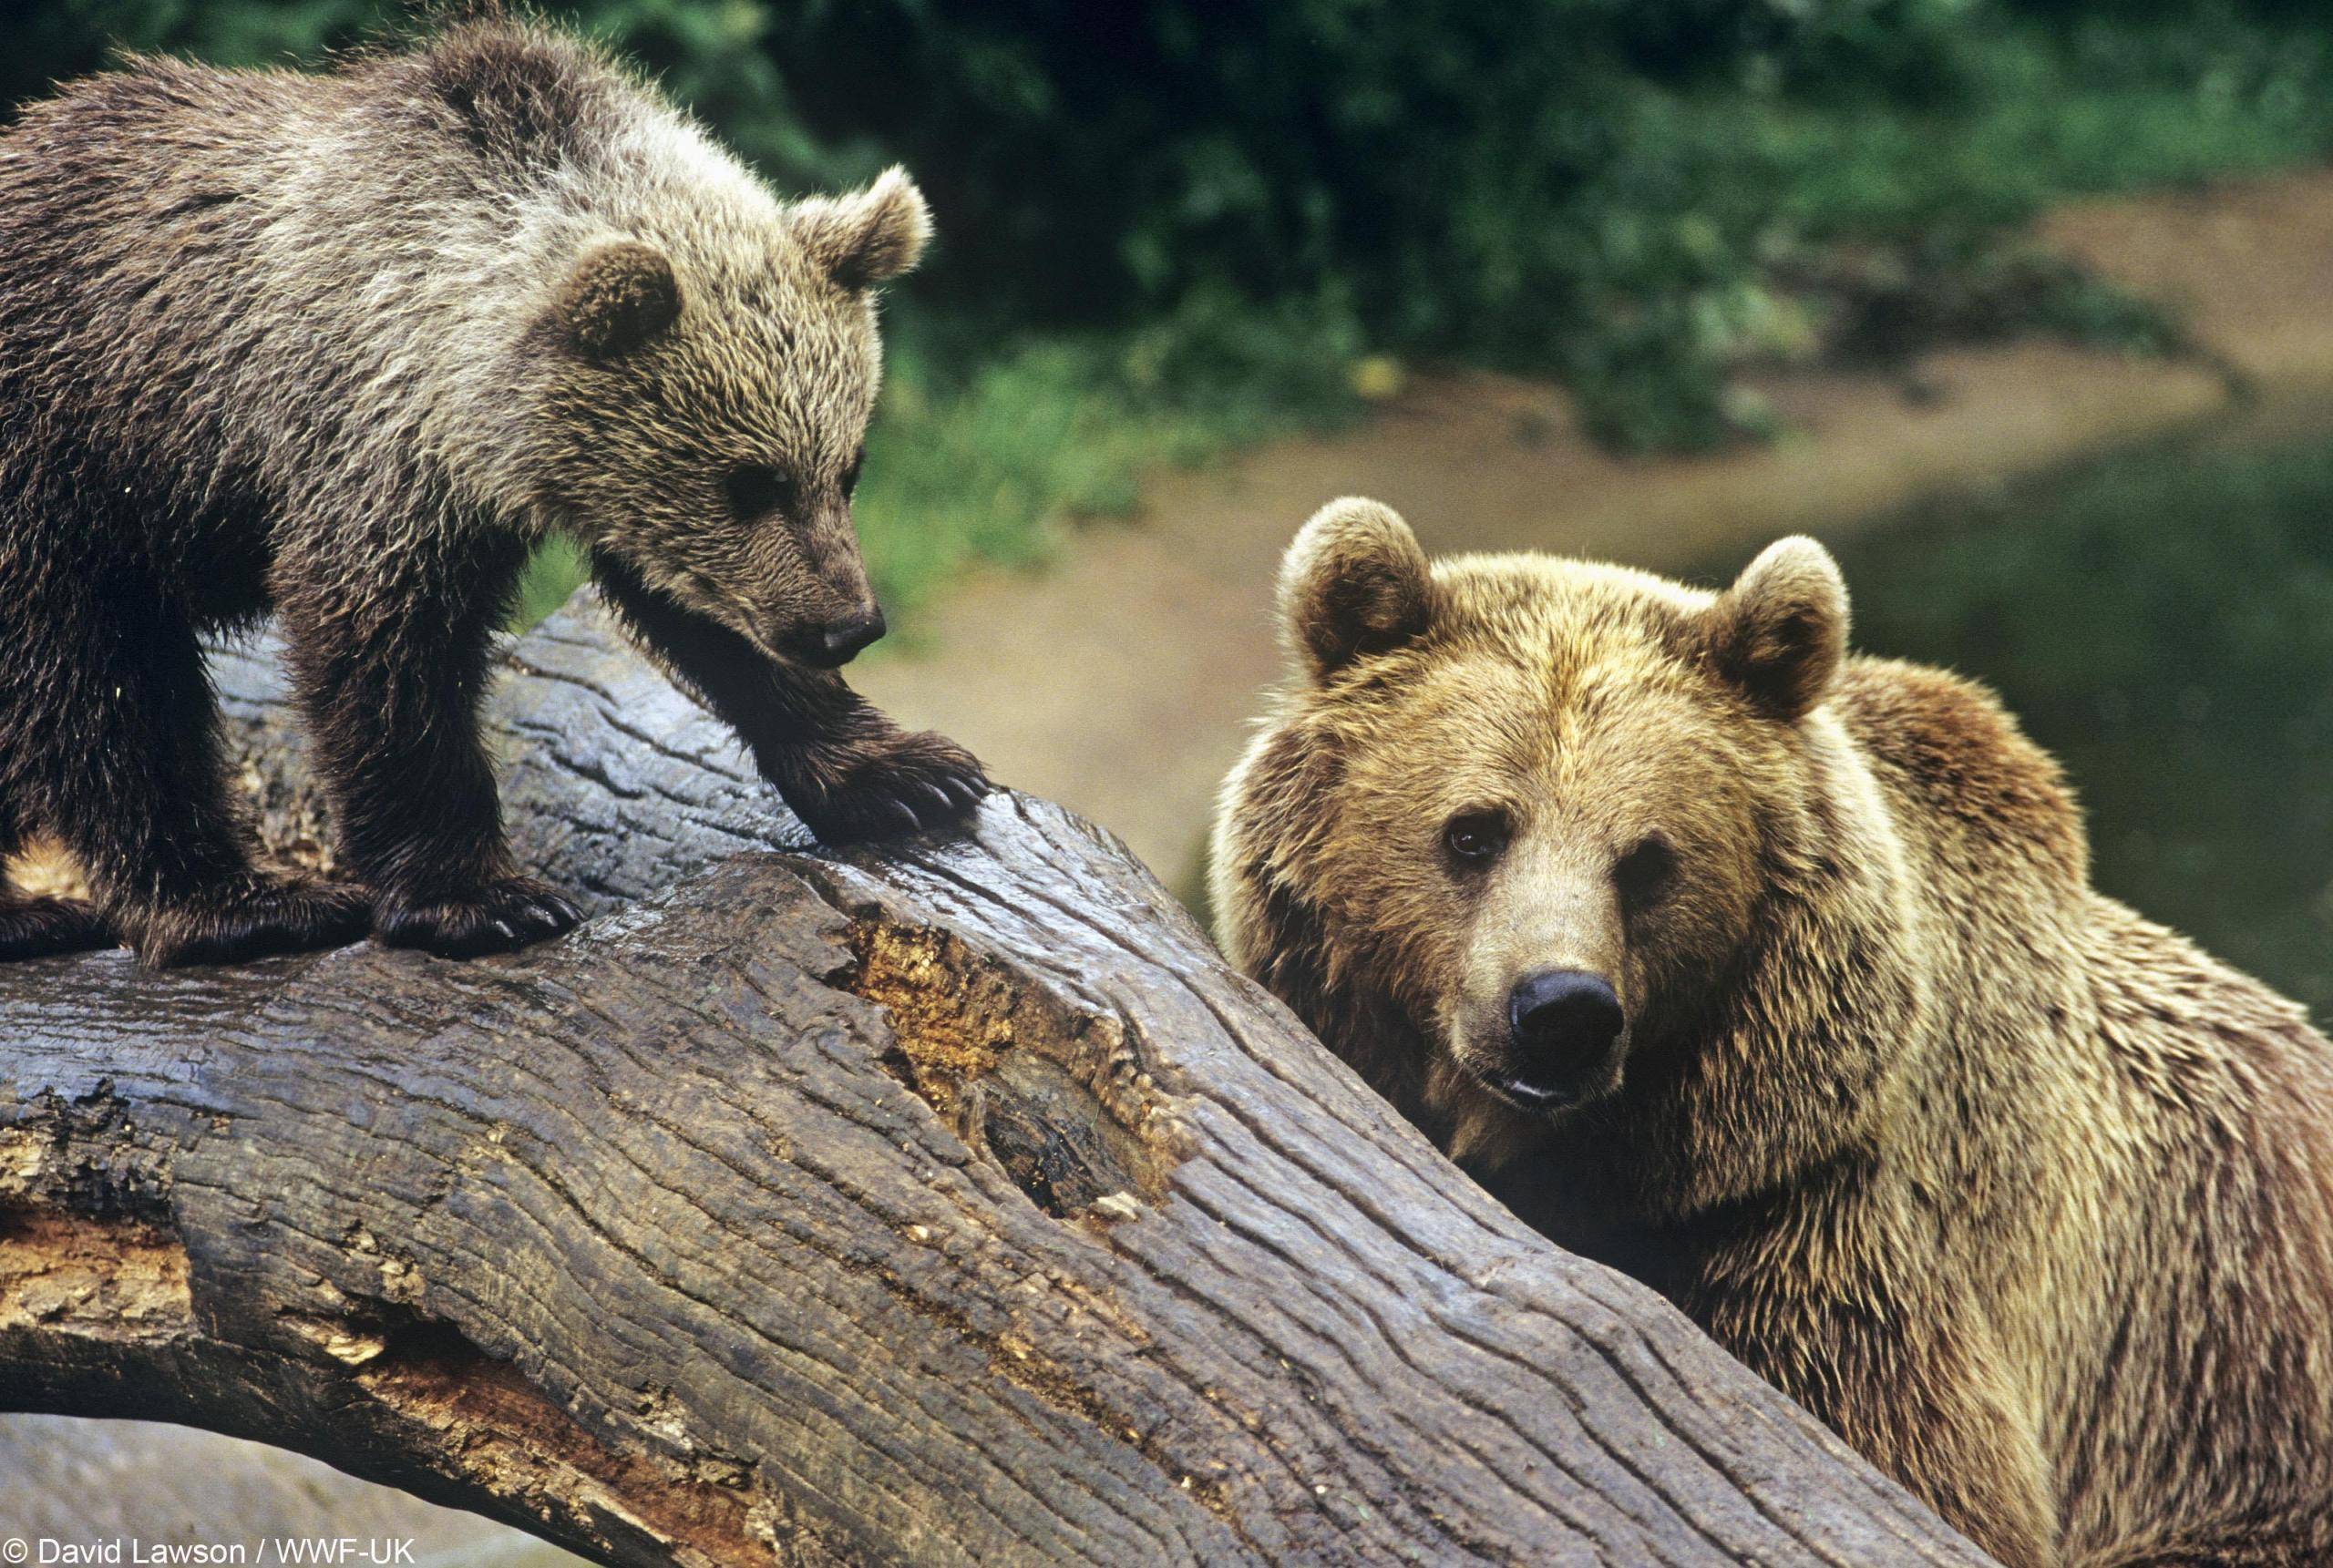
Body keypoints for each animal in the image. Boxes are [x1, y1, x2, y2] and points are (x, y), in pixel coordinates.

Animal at [0, 13, 987, 968]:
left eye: (846, 466)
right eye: (746, 483)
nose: (848, 625)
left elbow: (703, 620)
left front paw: (906, 772)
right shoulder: (363, 444)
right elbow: (387, 656)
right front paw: (480, 896)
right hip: (56, 471)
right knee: (103, 684)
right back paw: (238, 902)